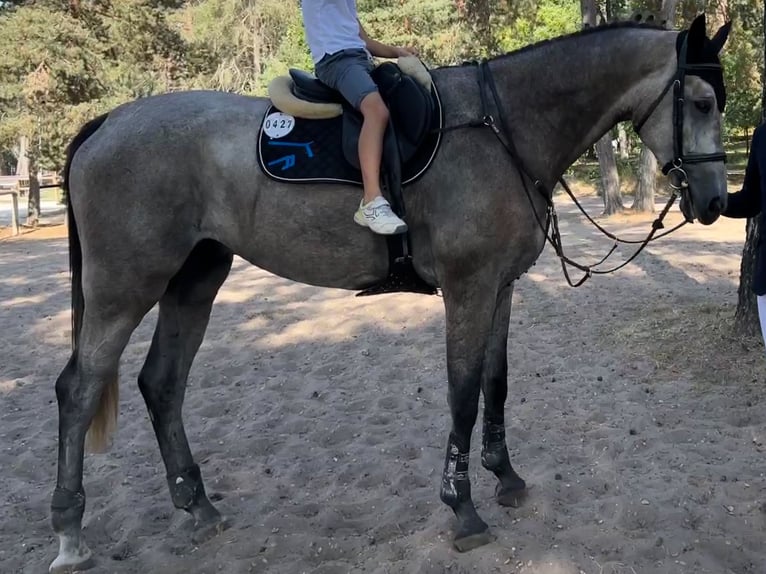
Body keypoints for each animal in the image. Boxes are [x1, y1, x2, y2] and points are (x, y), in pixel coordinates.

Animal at [46, 14, 732, 574]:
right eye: (700, 102)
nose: (716, 202)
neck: (502, 127)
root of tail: (110, 122)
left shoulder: (502, 287)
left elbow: (496, 383)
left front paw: (505, 476)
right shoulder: (468, 287)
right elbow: (462, 394)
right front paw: (462, 508)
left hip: (195, 280)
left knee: (162, 383)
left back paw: (198, 506)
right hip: (124, 286)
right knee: (80, 388)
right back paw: (69, 533)